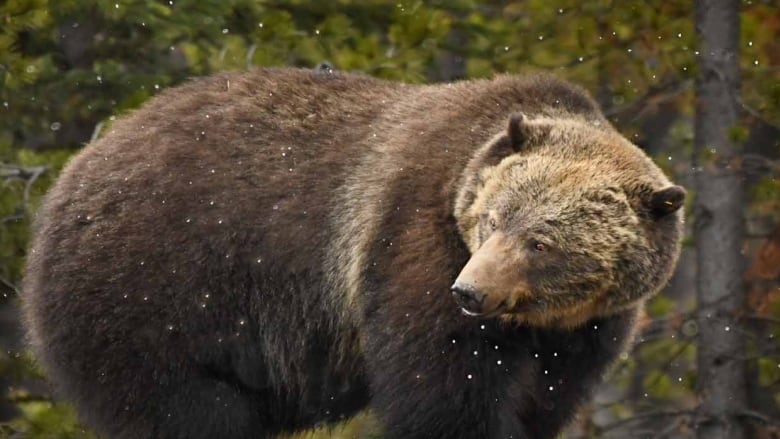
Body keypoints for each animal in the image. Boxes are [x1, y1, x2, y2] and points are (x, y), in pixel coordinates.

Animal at [21, 66, 684, 439]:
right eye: (493, 219)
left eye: (540, 241)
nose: (471, 293)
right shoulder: (412, 242)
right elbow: (442, 388)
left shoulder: (586, 332)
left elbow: (542, 401)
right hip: (157, 289)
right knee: (182, 409)